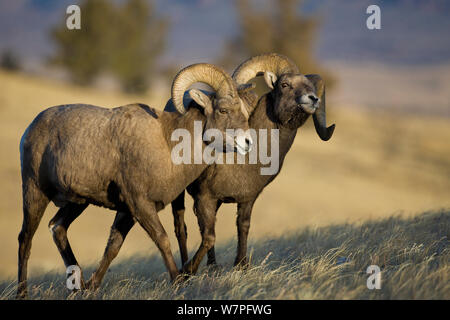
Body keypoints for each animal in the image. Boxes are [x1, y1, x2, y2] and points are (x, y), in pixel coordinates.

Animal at [16, 62, 253, 298]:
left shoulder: (127, 211)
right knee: (25, 239)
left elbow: (113, 247)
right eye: (223, 110)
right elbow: (162, 239)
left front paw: (92, 287)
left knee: (57, 228)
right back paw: (22, 293)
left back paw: (79, 286)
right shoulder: (140, 205)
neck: (168, 145)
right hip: (35, 194)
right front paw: (178, 280)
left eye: (244, 113)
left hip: (78, 202)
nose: (247, 142)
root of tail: (31, 128)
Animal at [87, 53, 334, 278]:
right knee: (181, 229)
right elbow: (208, 236)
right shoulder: (205, 197)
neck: (244, 159)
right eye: (285, 84)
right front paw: (193, 270)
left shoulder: (247, 199)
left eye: (312, 87)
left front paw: (241, 265)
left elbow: (241, 228)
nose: (313, 99)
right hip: (180, 196)